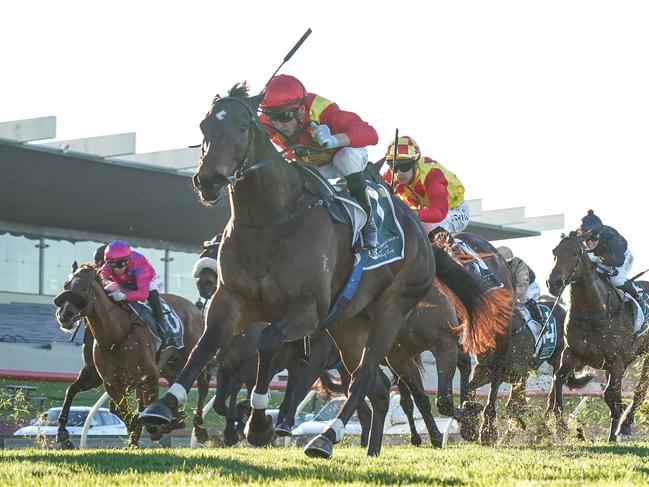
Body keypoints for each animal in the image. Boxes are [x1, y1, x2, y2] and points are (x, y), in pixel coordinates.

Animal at [54, 264, 210, 448]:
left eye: (85, 288)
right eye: (66, 286)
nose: (65, 315)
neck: (115, 337)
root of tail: (194, 308)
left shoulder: (148, 376)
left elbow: (140, 409)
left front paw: (151, 428)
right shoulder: (108, 380)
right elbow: (75, 392)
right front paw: (63, 436)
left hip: (191, 355)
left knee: (203, 384)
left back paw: (198, 429)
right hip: (169, 366)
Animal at [139, 82, 498, 460]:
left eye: (242, 126)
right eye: (204, 126)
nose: (209, 180)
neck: (270, 221)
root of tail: (420, 234)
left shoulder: (307, 308)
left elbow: (268, 344)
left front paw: (260, 423)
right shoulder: (232, 301)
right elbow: (204, 348)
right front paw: (160, 408)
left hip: (392, 312)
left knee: (366, 376)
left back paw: (326, 438)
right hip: (348, 324)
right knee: (378, 388)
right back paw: (369, 449)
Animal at [548, 233, 648, 442]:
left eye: (575, 253)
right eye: (555, 251)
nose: (553, 283)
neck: (592, 311)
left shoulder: (616, 360)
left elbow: (609, 395)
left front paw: (612, 434)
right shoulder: (572, 354)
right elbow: (558, 379)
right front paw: (560, 427)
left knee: (640, 389)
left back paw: (625, 425)